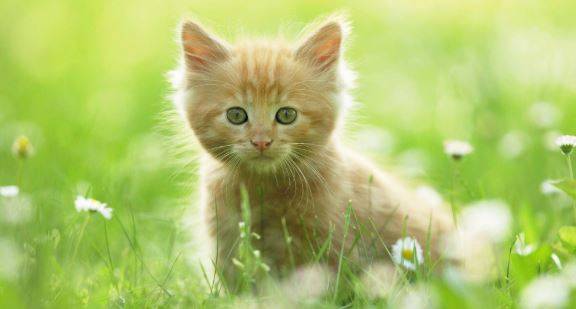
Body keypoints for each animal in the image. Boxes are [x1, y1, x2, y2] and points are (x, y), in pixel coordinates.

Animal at [171, 14, 454, 288]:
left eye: (286, 115)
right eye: (236, 115)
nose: (261, 141)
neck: (263, 188)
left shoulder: (333, 242)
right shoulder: (227, 238)